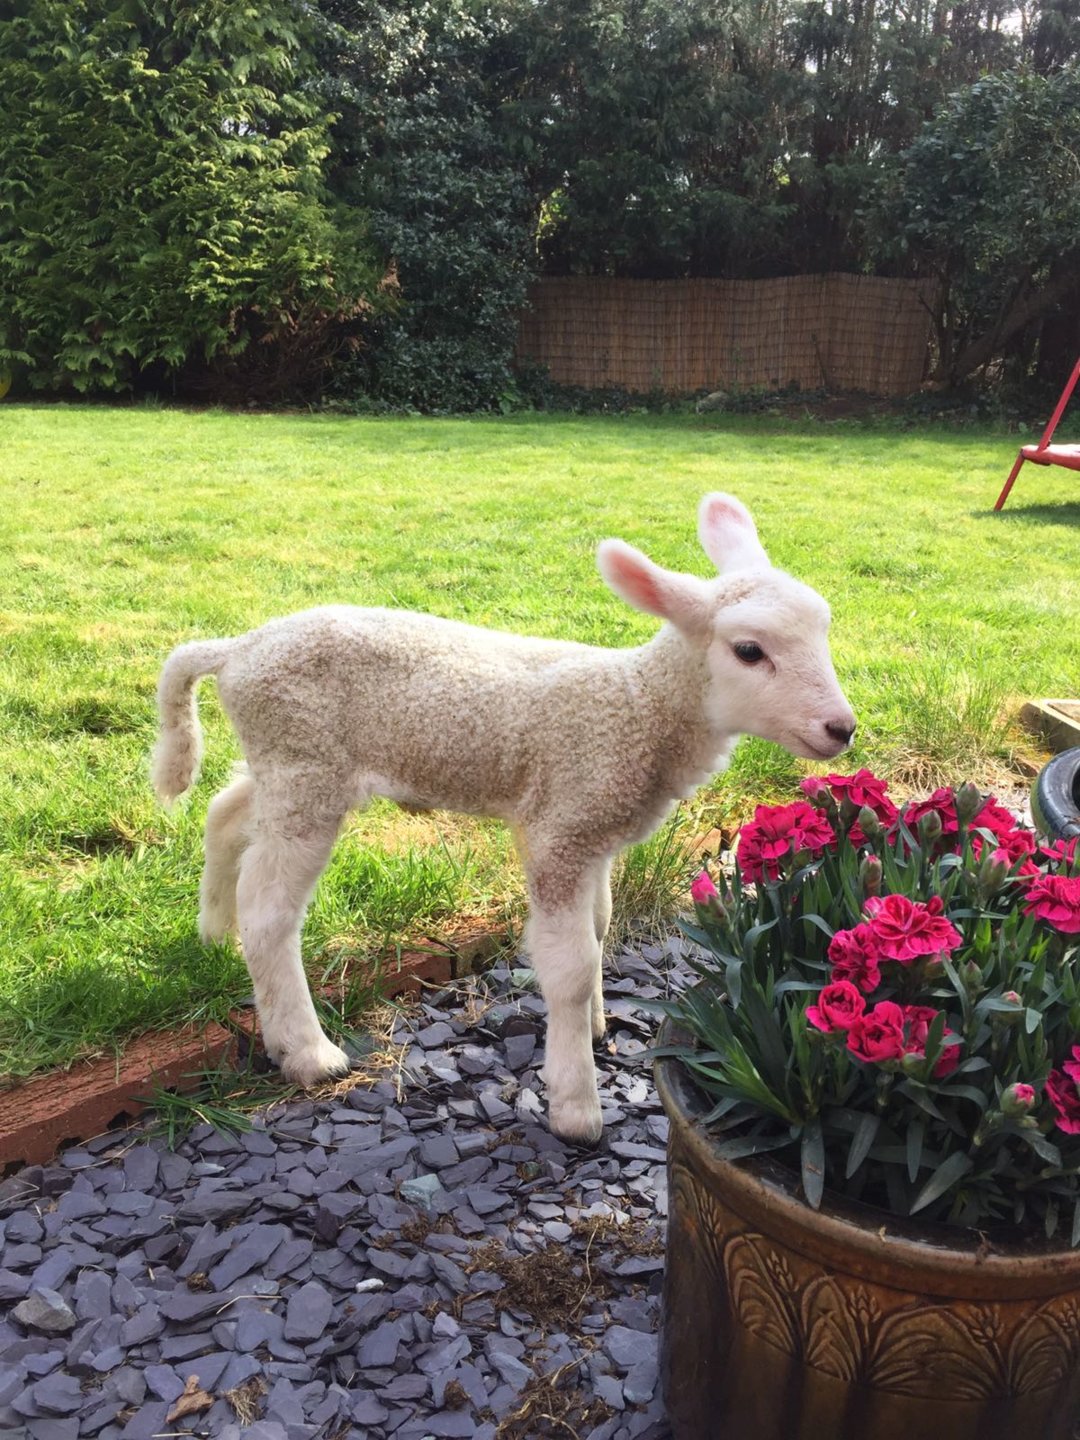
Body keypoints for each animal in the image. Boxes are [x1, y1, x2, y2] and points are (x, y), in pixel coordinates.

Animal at [152, 492, 854, 1143]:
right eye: (748, 651)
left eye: (824, 632)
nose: (841, 729)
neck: (637, 706)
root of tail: (238, 648)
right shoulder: (561, 829)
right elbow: (570, 966)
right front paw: (576, 1105)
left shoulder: (594, 830)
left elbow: (600, 928)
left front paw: (596, 1024)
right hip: (306, 764)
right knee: (269, 911)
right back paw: (305, 1051)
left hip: (286, 762)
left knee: (226, 811)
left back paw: (214, 932)